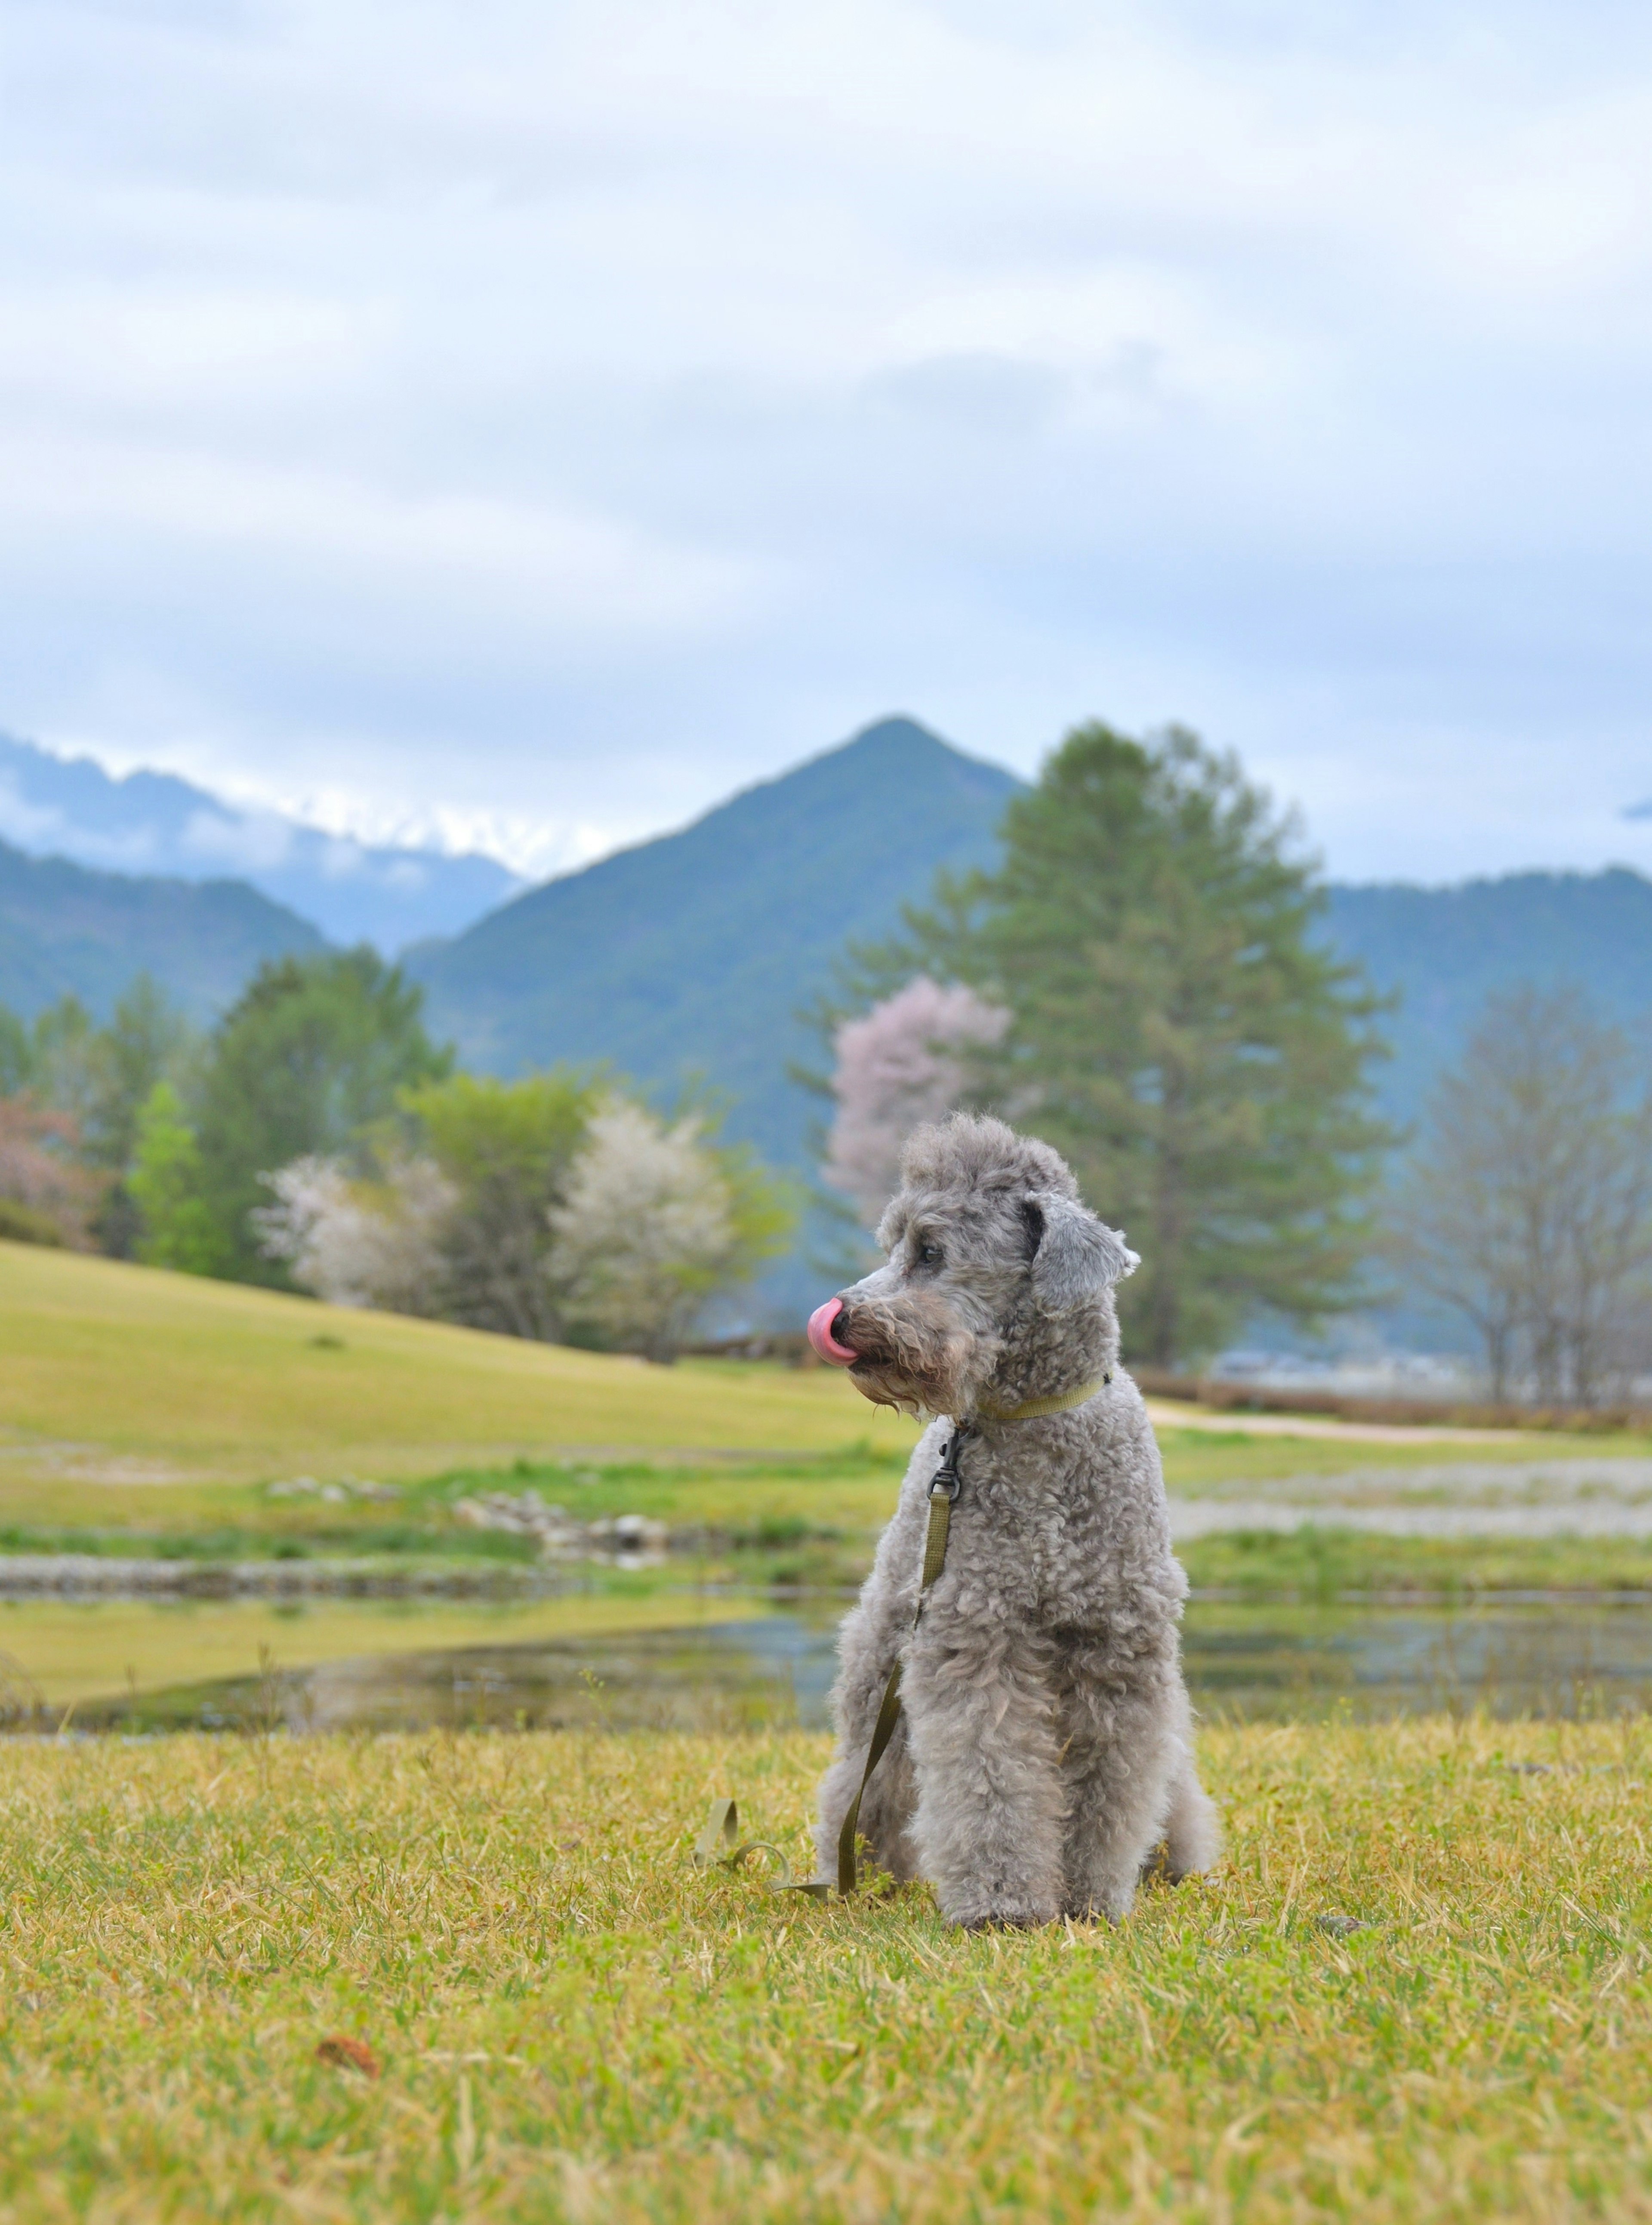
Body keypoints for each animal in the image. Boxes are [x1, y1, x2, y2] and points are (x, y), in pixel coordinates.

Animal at [809, 1112, 1218, 1931]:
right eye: (894, 1244)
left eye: (931, 1251)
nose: (840, 1316)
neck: (1036, 1423)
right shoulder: (978, 1639)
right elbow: (990, 1776)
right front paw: (1005, 1902)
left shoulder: (1119, 1650)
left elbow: (1116, 1782)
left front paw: (1093, 1897)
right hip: (881, 1662)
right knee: (865, 1780)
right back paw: (863, 1870)